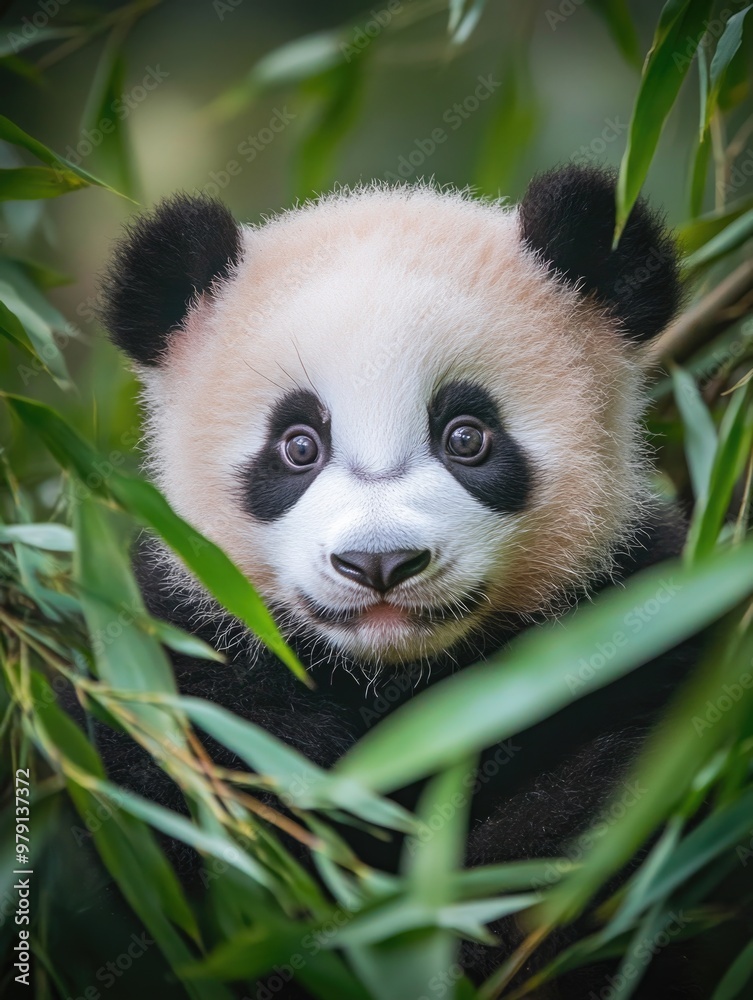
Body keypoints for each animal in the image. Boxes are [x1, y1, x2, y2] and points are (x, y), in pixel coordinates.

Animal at [95, 166, 698, 996]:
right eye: (298, 445)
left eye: (466, 436)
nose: (379, 564)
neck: (393, 682)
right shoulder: (176, 659)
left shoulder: (634, 617)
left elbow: (603, 805)